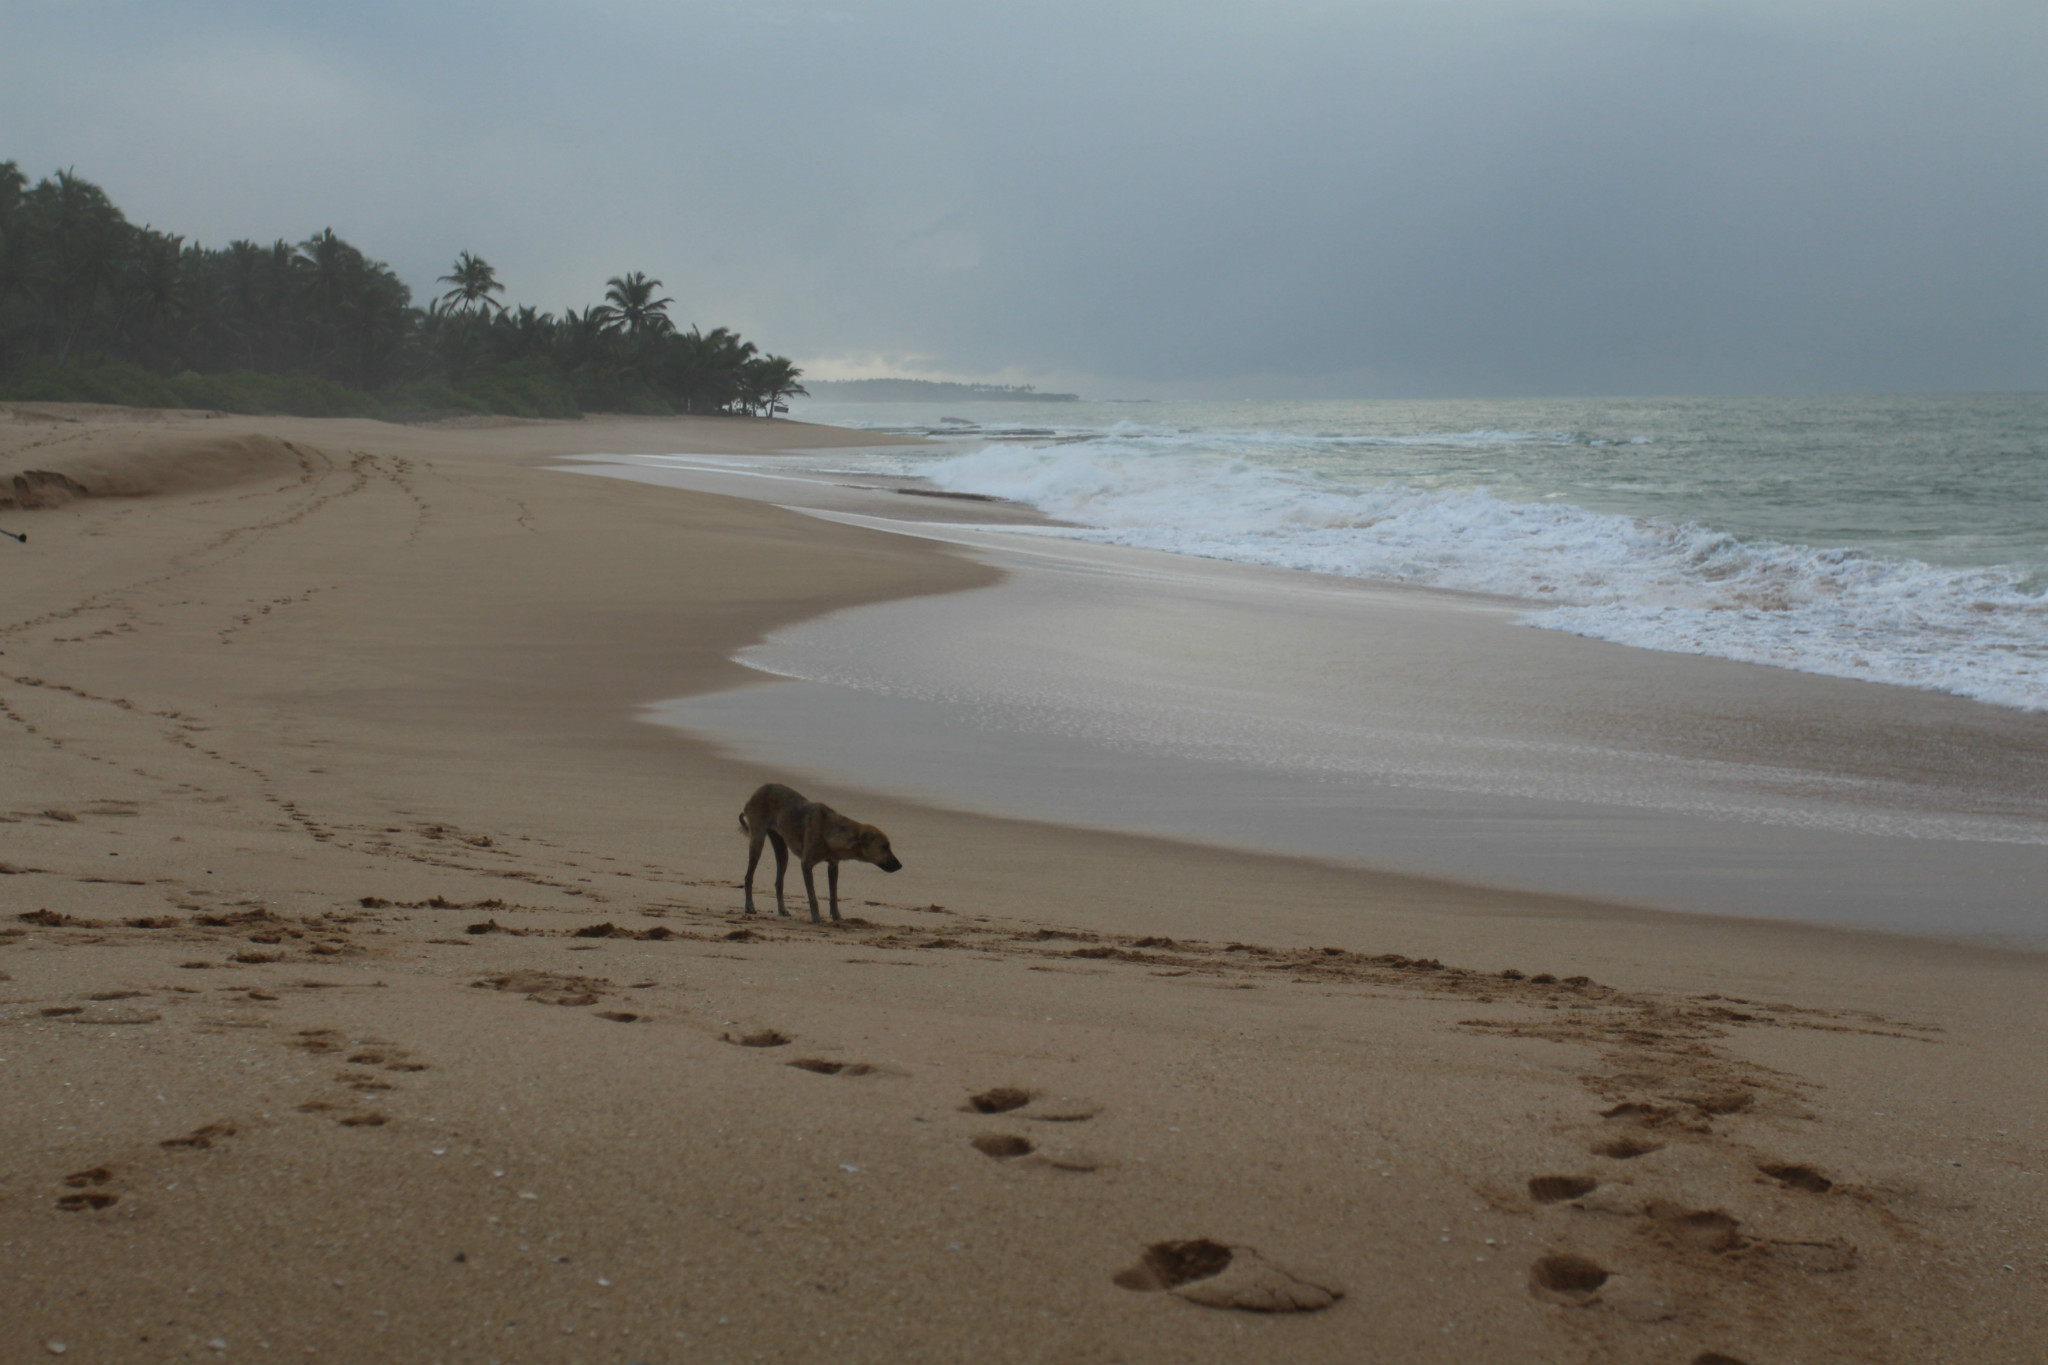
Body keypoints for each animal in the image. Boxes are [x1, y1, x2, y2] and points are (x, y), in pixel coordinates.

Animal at [733, 785, 901, 925]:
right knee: (748, 877)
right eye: (884, 847)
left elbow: (833, 896)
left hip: (782, 850)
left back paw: (782, 910)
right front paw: (816, 918)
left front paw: (836, 916)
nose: (900, 866)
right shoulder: (806, 864)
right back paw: (749, 906)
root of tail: (756, 793)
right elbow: (813, 897)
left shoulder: (833, 865)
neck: (830, 831)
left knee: (778, 882)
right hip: (757, 842)